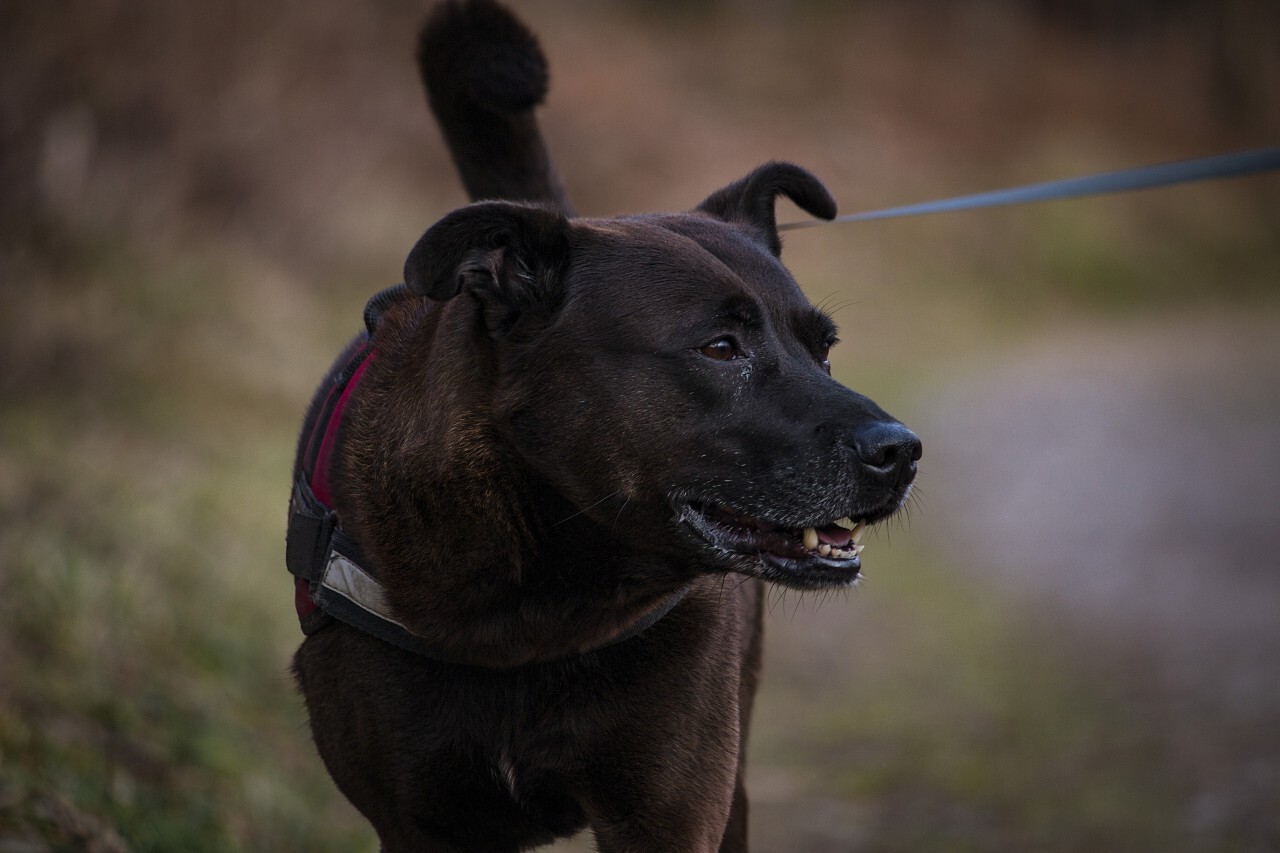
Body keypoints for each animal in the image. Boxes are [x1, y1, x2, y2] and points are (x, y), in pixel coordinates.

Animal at [288, 3, 921, 845]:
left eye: (824, 349)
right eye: (721, 347)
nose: (903, 451)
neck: (539, 598)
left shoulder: (670, 815)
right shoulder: (419, 823)